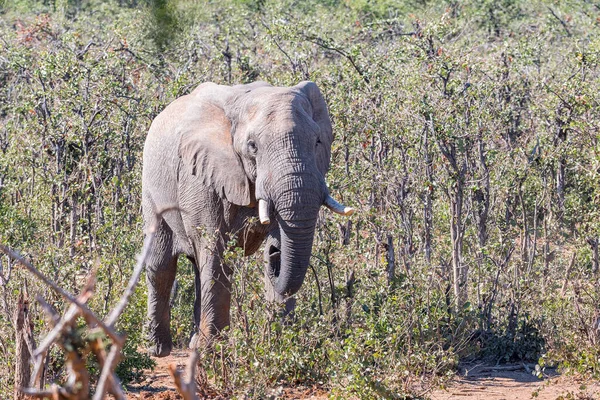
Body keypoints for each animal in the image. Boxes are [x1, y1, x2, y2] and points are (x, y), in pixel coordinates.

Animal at [142, 80, 352, 356]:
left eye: (318, 141)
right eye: (253, 146)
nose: (274, 253)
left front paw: (282, 347)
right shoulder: (200, 178)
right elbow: (215, 250)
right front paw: (212, 351)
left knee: (196, 267)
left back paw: (193, 342)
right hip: (151, 189)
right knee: (162, 266)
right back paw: (158, 350)